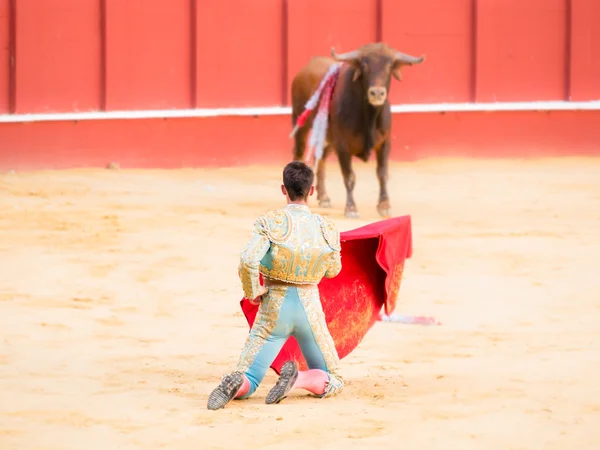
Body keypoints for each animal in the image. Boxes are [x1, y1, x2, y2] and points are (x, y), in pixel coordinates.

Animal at [292, 42, 424, 218]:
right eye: (364, 65)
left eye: (389, 66)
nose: (377, 93)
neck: (369, 116)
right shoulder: (343, 146)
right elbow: (349, 176)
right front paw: (351, 208)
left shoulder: (384, 144)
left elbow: (382, 173)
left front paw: (384, 206)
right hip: (300, 124)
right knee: (299, 154)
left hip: (328, 137)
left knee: (320, 158)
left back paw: (324, 197)